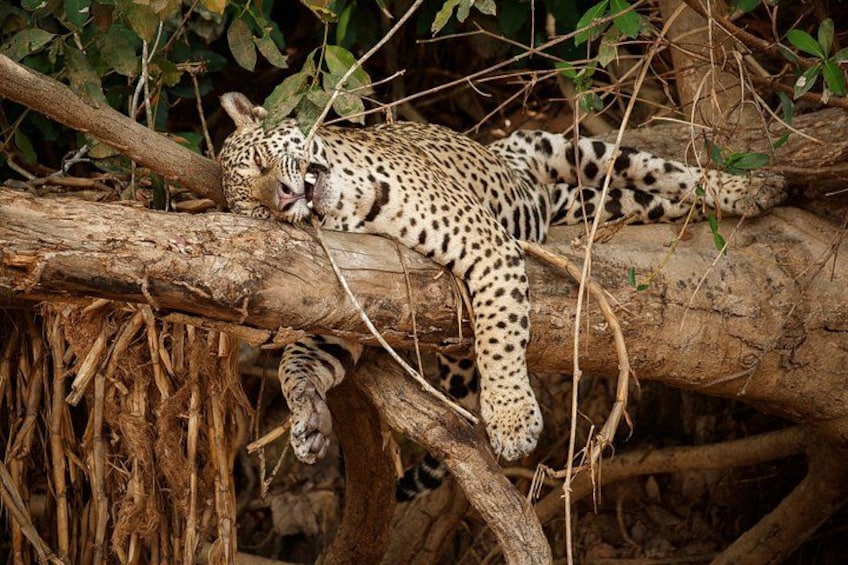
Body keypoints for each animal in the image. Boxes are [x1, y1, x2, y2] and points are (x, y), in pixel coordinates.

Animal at [218, 91, 785, 470]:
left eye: (265, 161)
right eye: (258, 212)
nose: (284, 196)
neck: (351, 211)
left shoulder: (485, 244)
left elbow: (499, 333)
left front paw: (512, 420)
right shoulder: (353, 306)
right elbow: (296, 362)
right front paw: (307, 420)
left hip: (568, 147)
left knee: (670, 172)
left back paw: (753, 188)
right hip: (595, 202)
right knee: (650, 200)